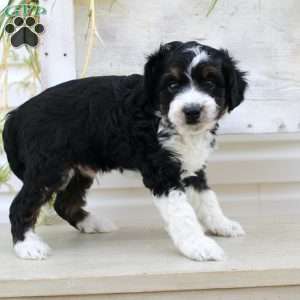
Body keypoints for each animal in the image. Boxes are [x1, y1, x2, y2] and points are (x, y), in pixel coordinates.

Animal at [2, 41, 247, 262]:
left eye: (210, 83)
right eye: (172, 85)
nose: (192, 111)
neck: (161, 115)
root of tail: (17, 114)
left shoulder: (191, 166)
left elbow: (207, 199)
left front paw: (221, 225)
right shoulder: (162, 172)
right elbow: (182, 212)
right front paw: (198, 246)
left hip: (80, 168)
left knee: (64, 203)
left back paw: (92, 223)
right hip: (49, 169)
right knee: (20, 205)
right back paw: (27, 246)